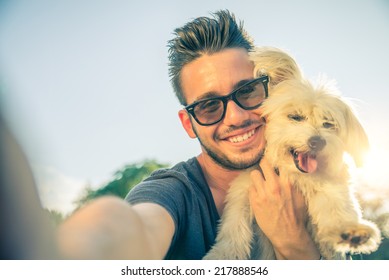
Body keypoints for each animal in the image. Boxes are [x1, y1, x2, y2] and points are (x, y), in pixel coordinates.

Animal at [205, 47, 380, 260]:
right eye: (295, 117)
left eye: (328, 124)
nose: (317, 142)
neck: (295, 175)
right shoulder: (243, 190)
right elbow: (233, 227)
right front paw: (221, 254)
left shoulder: (329, 186)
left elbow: (337, 208)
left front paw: (351, 231)